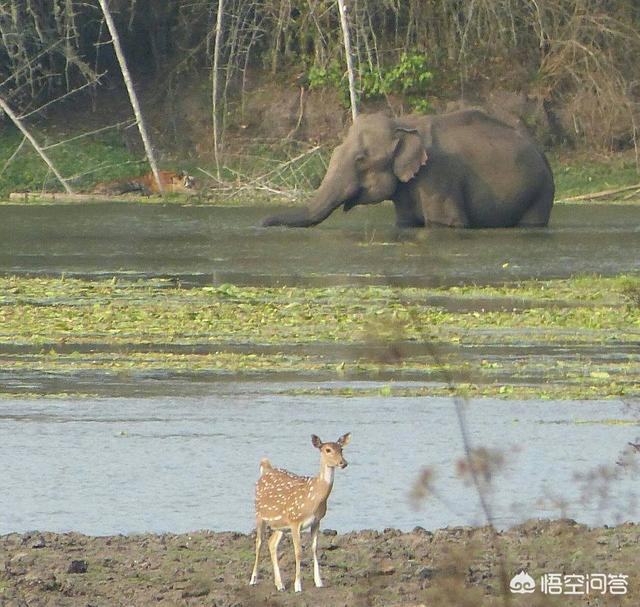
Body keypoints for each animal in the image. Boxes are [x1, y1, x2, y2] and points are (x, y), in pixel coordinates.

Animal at [249, 432, 350, 592]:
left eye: (341, 449)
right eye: (327, 450)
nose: (343, 463)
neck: (313, 500)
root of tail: (266, 469)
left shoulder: (317, 521)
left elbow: (314, 548)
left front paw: (319, 582)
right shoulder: (295, 521)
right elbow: (298, 551)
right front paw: (297, 586)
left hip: (280, 524)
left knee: (272, 543)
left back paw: (280, 585)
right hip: (259, 514)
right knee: (259, 542)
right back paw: (253, 579)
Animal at [262, 110, 552, 230]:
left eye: (360, 159)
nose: (263, 222)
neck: (403, 123)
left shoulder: (439, 176)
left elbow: (447, 222)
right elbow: (405, 222)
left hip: (540, 191)